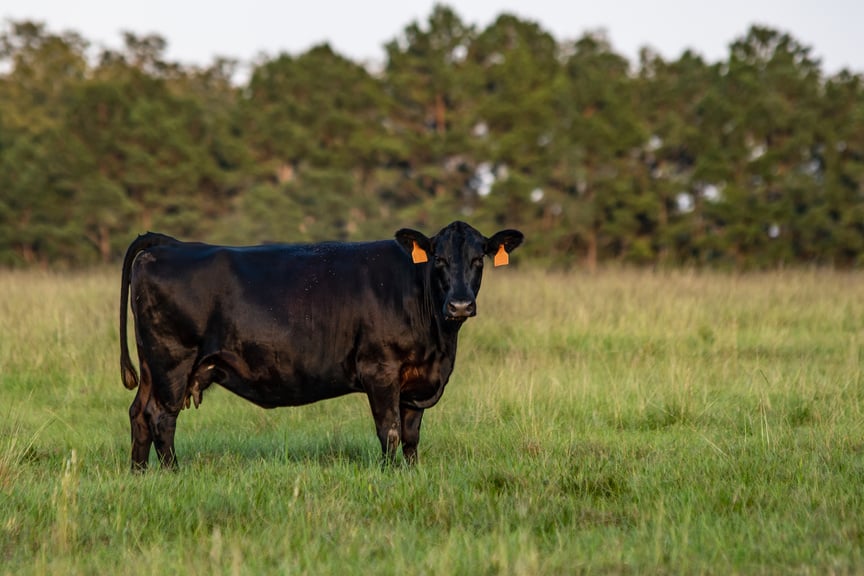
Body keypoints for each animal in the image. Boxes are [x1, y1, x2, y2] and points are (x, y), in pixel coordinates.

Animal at [120, 219, 528, 468]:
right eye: (439, 259)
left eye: (478, 260)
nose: (460, 304)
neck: (439, 344)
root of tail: (172, 245)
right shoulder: (380, 370)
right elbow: (390, 431)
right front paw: (391, 475)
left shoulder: (416, 380)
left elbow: (412, 435)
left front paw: (412, 474)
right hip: (172, 360)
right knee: (161, 416)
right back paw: (173, 473)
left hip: (152, 366)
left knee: (139, 413)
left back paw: (140, 474)